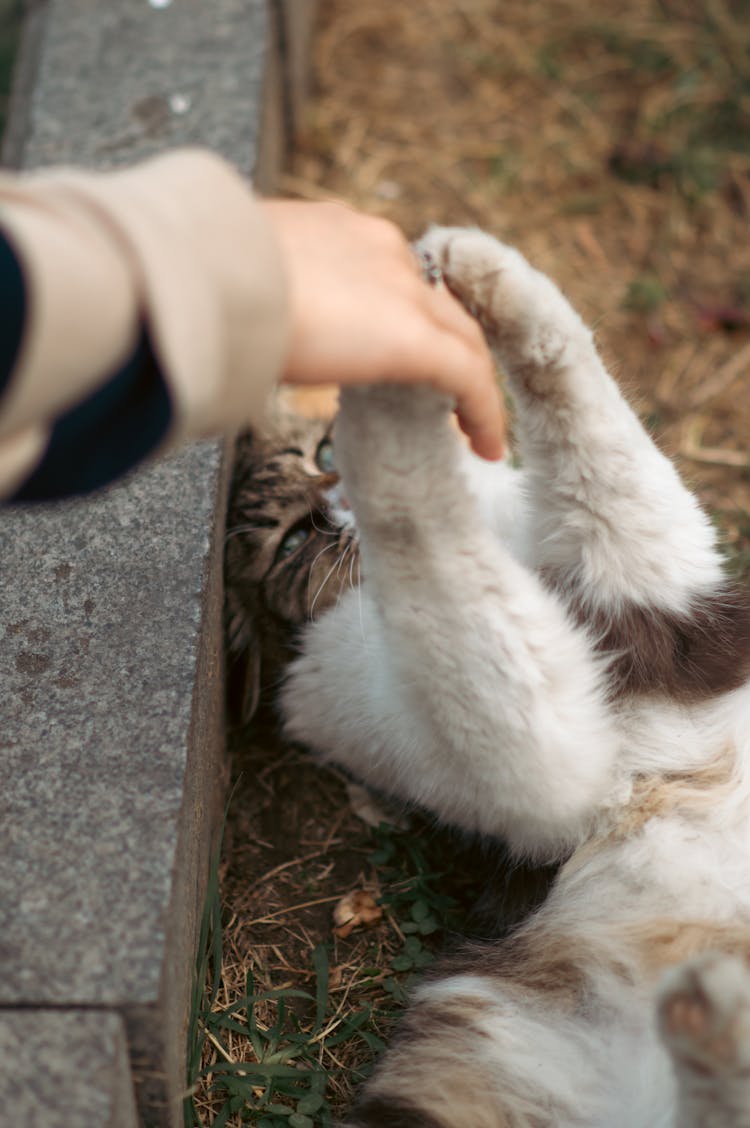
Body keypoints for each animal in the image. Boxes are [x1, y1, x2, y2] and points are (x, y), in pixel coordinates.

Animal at [225, 224, 748, 1123]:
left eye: (321, 451)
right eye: (293, 541)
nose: (338, 496)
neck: (506, 550)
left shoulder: (654, 577)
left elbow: (579, 400)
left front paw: (465, 266)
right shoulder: (547, 769)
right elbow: (434, 553)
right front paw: (395, 407)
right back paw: (712, 1006)